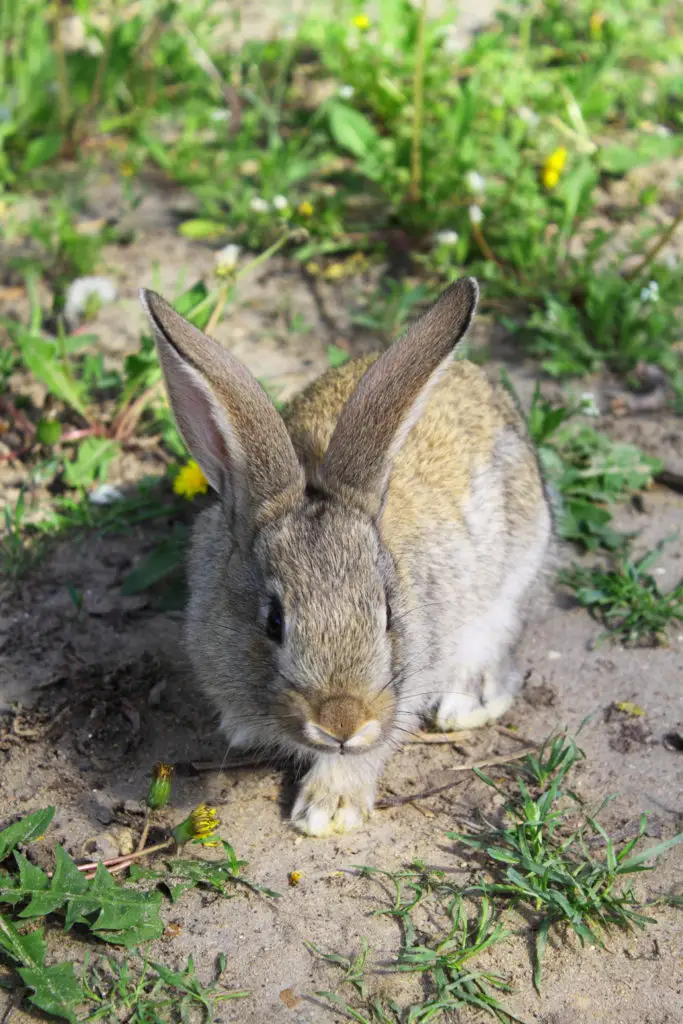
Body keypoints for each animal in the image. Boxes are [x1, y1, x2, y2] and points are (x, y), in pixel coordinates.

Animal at [141, 276, 552, 835]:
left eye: (387, 616)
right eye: (273, 622)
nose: (343, 723)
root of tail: (481, 382)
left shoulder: (404, 687)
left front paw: (328, 809)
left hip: (514, 574)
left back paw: (465, 704)